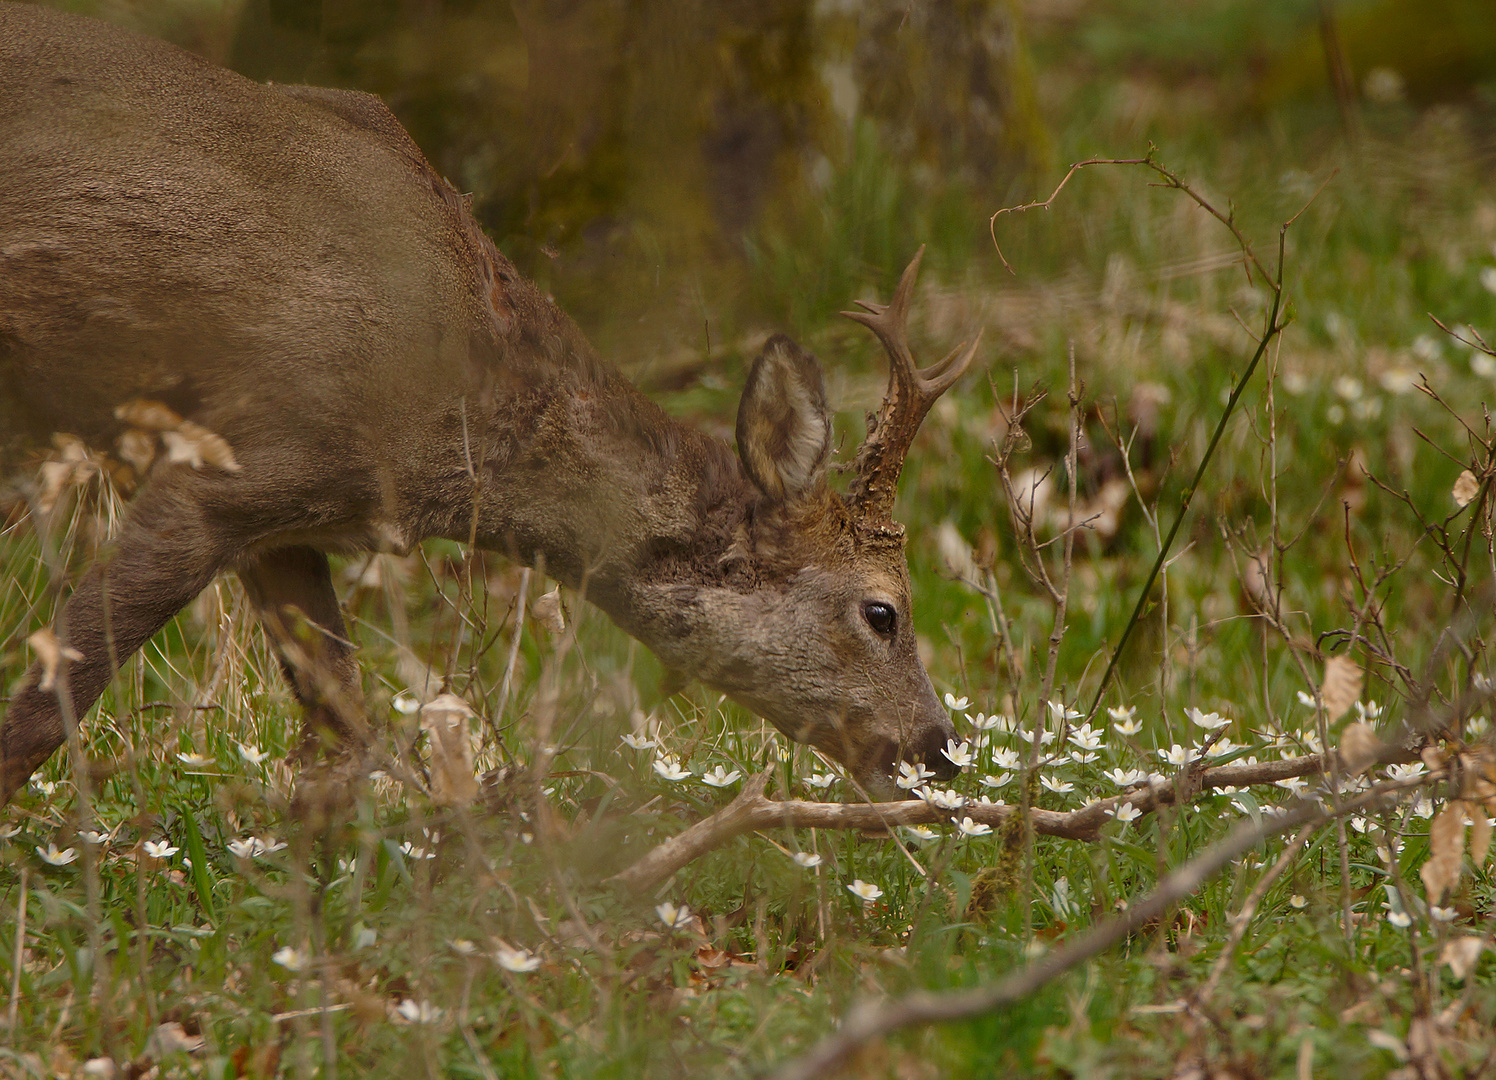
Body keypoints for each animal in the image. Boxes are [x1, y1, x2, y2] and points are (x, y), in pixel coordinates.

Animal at [0, 6, 981, 801]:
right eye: (882, 611)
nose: (938, 750)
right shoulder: (224, 464)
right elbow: (45, 708)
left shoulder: (289, 525)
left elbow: (345, 729)